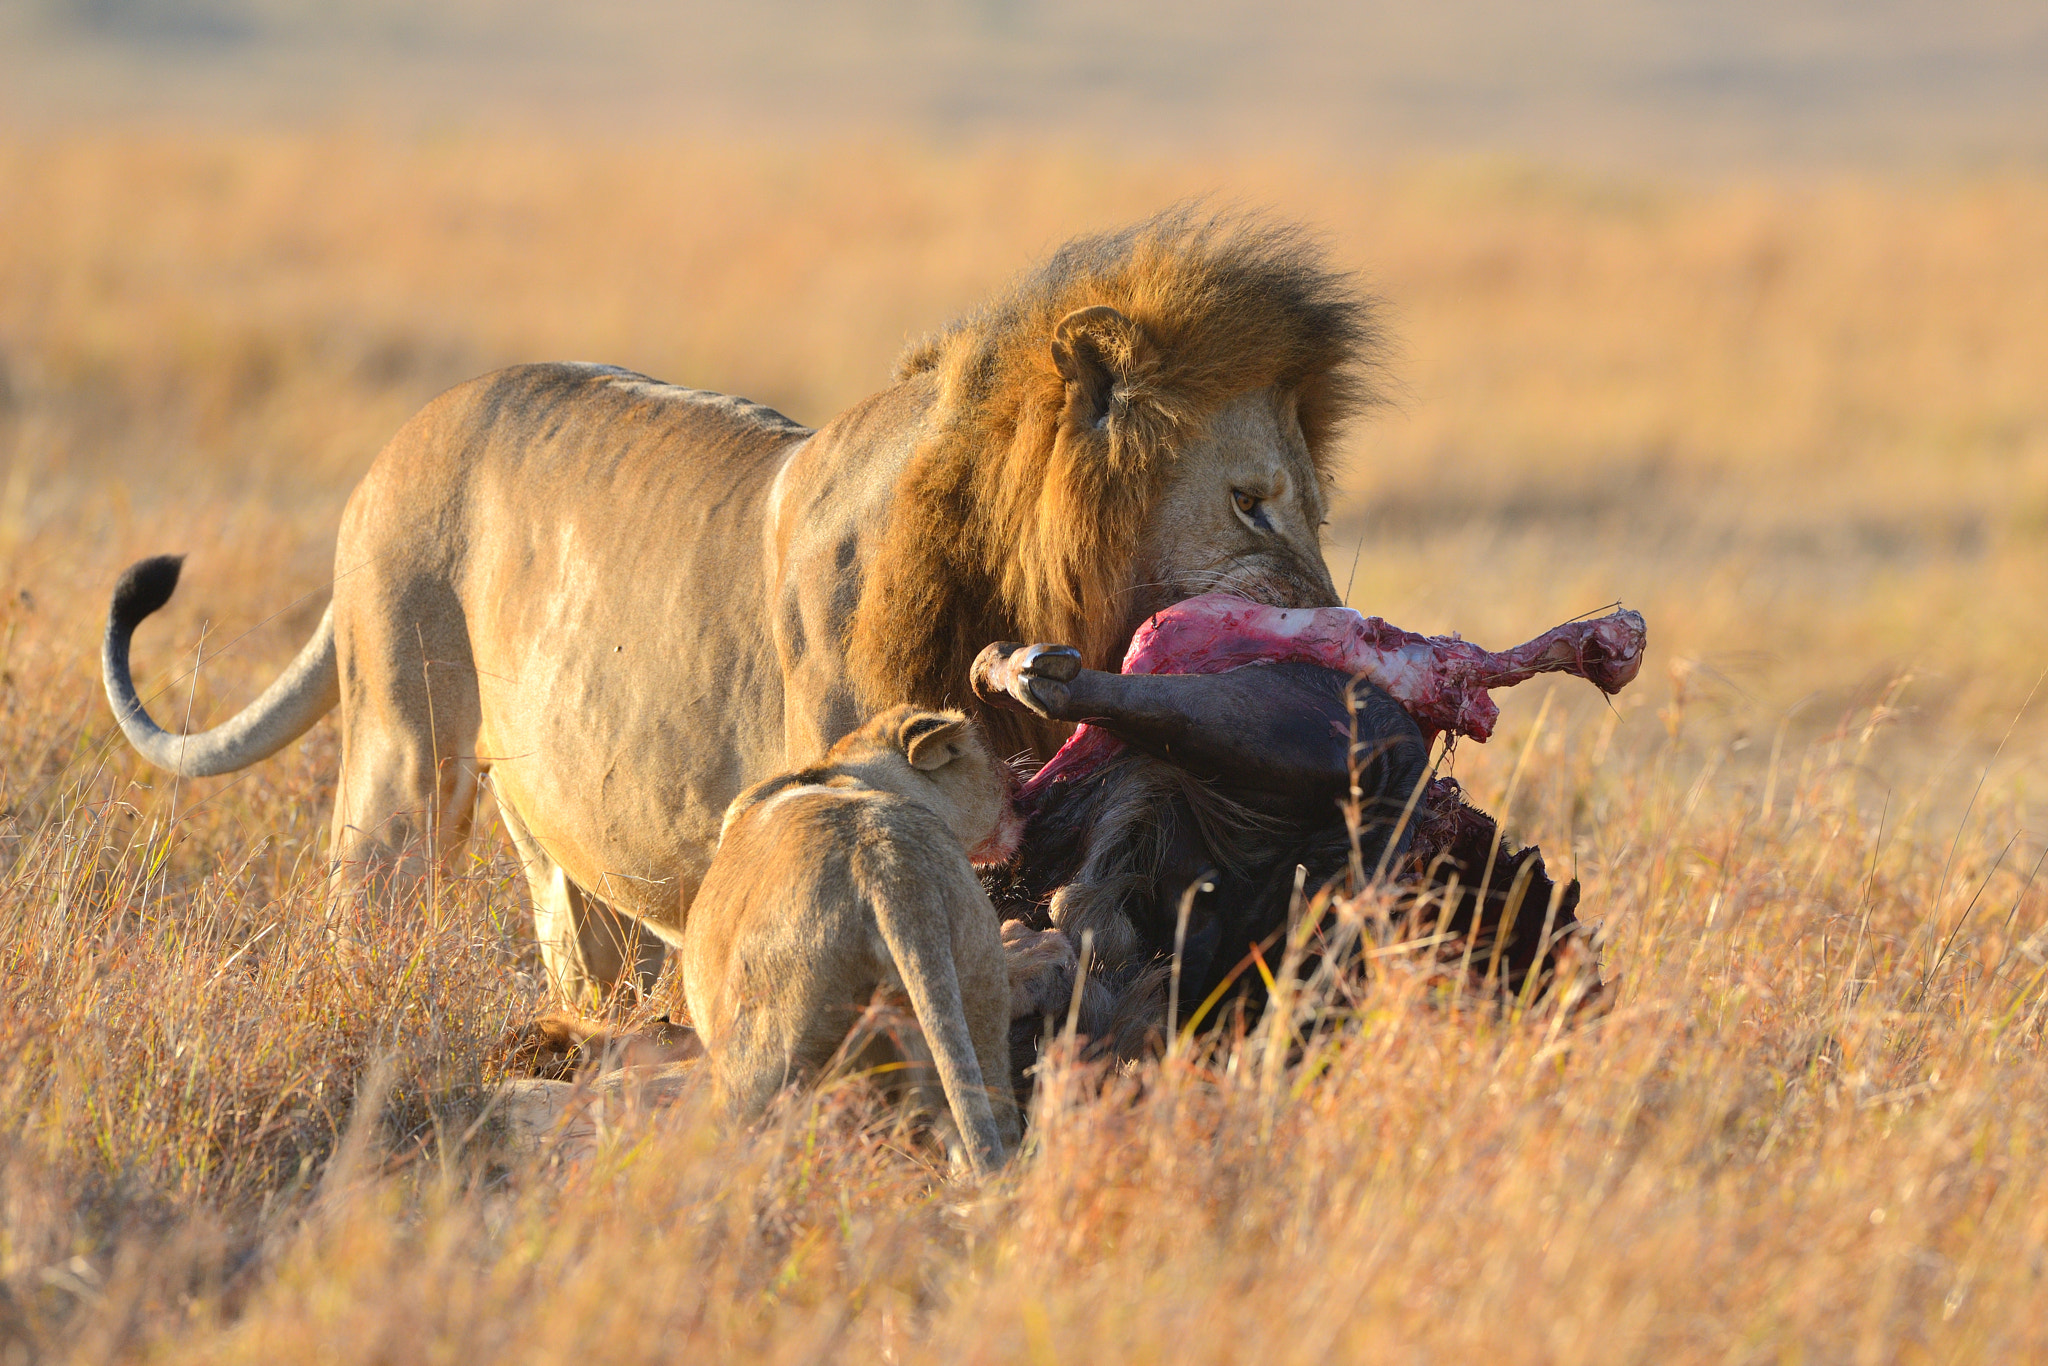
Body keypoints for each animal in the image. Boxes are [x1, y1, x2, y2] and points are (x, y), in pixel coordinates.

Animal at [96, 214, 1376, 1003]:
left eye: (1318, 508)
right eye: (1251, 504)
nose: (1342, 635)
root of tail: (396, 447)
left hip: (559, 833)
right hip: (402, 750)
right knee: (365, 891)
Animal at [684, 704, 1019, 1179]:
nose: (1015, 778)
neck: (845, 772)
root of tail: (885, 862)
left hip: (759, 1045)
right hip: (977, 993)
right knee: (990, 1130)